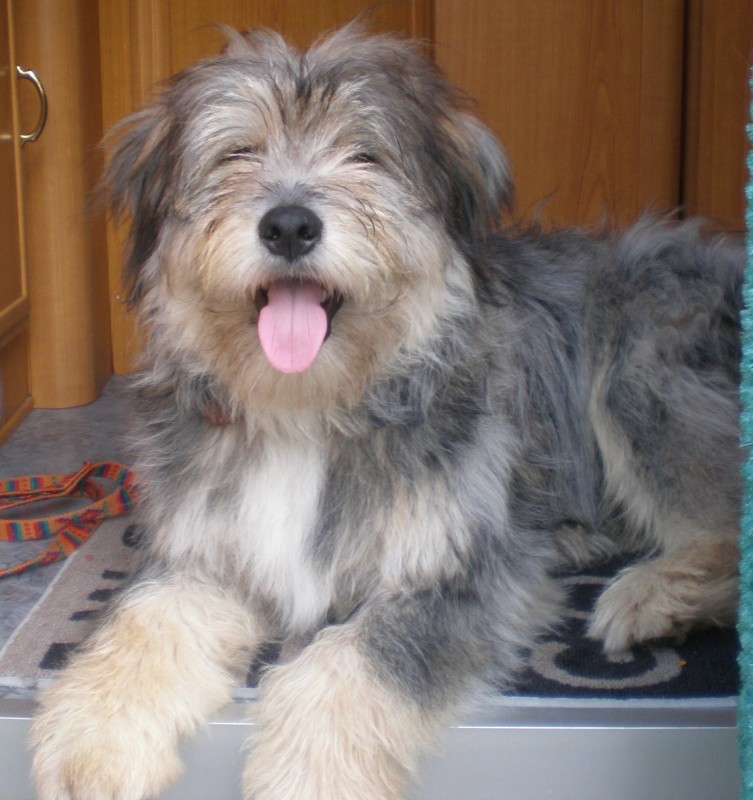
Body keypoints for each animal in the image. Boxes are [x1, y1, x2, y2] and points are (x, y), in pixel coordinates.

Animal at [31, 25, 743, 800]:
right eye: (237, 152)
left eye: (364, 155)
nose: (289, 225)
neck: (308, 410)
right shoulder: (201, 551)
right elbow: (145, 618)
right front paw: (93, 734)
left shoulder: (461, 579)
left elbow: (357, 658)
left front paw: (308, 774)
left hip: (638, 368)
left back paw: (660, 595)